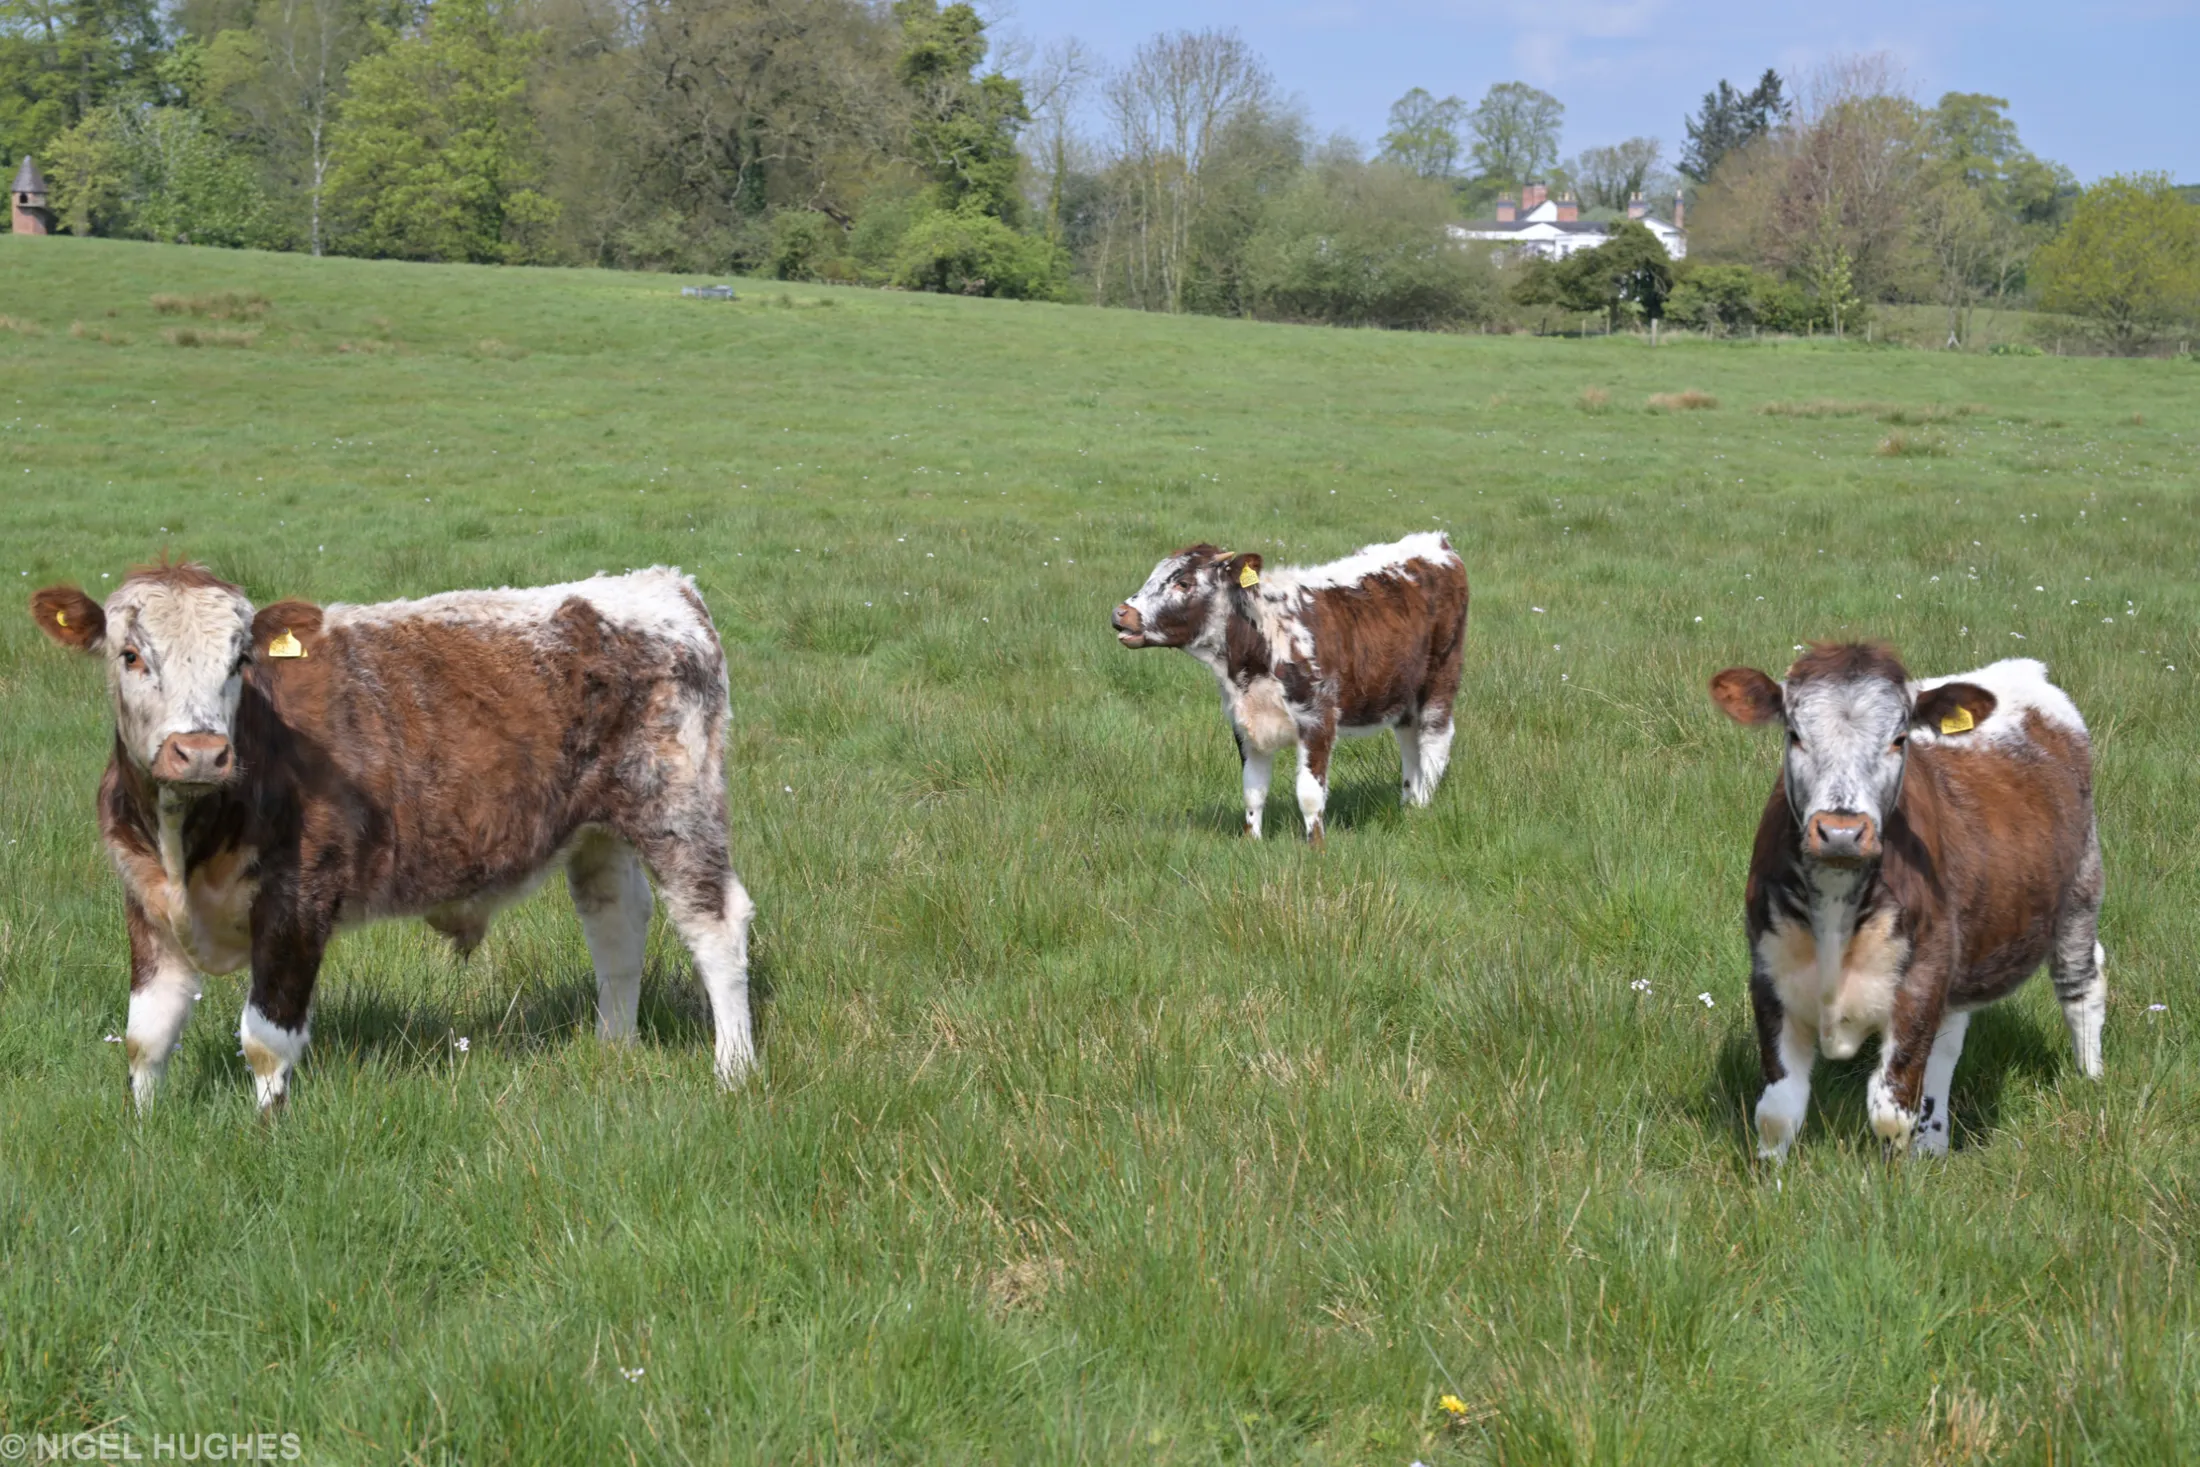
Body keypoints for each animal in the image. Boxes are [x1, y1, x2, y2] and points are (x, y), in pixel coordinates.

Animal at [30, 560, 758, 1113]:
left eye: (238, 659)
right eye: (130, 655)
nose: (201, 751)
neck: (189, 837)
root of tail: (659, 585)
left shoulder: (299, 899)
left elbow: (266, 1037)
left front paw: (266, 1133)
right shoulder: (146, 902)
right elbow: (146, 1035)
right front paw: (143, 1130)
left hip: (678, 807)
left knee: (715, 926)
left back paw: (734, 1069)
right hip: (598, 832)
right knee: (616, 927)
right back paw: (614, 1046)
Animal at [1111, 533, 1468, 843]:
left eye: (1183, 582)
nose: (1120, 613)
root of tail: (1436, 541)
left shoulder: (1318, 719)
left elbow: (1309, 793)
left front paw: (1315, 846)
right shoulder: (1244, 722)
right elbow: (1253, 789)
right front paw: (1251, 842)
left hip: (1441, 676)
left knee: (1434, 740)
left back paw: (1422, 807)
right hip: (1403, 692)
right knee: (1409, 741)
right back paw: (1409, 804)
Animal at [1709, 645, 2104, 1161]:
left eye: (1899, 739)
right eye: (1794, 734)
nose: (1841, 831)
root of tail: (2018, 670)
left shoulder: (1919, 980)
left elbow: (1891, 1111)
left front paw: (1894, 1177)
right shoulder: (1769, 974)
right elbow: (1777, 1113)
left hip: (2081, 888)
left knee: (2081, 983)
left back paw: (2091, 1079)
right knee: (1949, 1039)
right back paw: (1934, 1143)